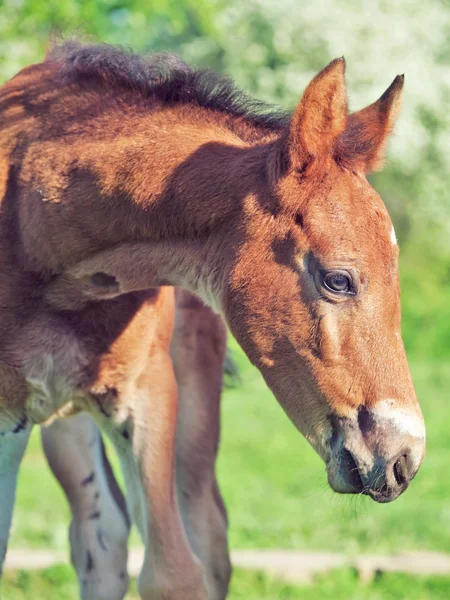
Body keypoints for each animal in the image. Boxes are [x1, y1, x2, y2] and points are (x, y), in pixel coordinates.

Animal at [0, 42, 426, 600]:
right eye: (338, 280)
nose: (404, 459)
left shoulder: (148, 390)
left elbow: (175, 574)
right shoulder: (8, 416)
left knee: (199, 533)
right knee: (100, 531)